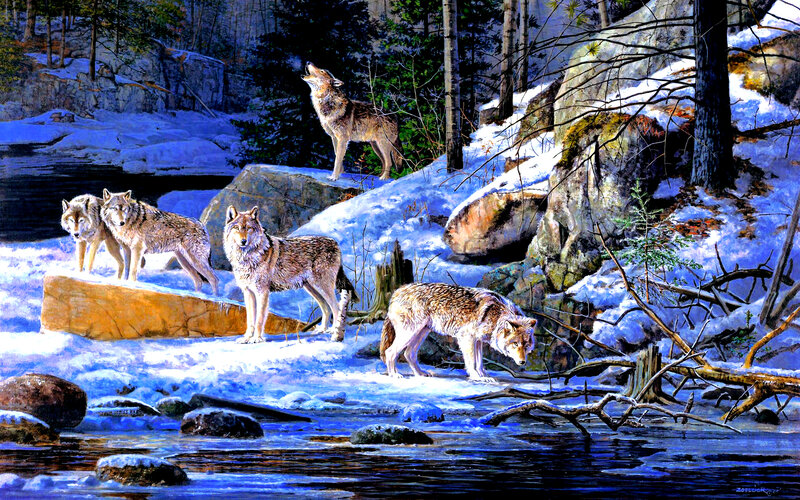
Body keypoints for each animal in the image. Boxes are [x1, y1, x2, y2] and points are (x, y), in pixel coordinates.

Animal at [223, 205, 359, 344]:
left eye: (249, 228)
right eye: (237, 228)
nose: (243, 241)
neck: (247, 257)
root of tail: (335, 243)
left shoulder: (262, 292)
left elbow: (259, 319)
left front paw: (257, 339)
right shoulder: (248, 292)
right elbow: (250, 319)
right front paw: (246, 338)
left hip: (322, 287)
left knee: (337, 308)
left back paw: (335, 334)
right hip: (312, 288)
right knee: (326, 307)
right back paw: (322, 330)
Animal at [380, 283, 536, 382]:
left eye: (526, 345)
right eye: (515, 344)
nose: (522, 362)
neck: (496, 317)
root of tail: (396, 292)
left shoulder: (477, 340)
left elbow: (479, 362)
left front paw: (484, 376)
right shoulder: (466, 337)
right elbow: (471, 361)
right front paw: (476, 377)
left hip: (421, 333)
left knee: (409, 353)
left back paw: (420, 374)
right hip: (410, 332)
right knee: (390, 351)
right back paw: (394, 375)